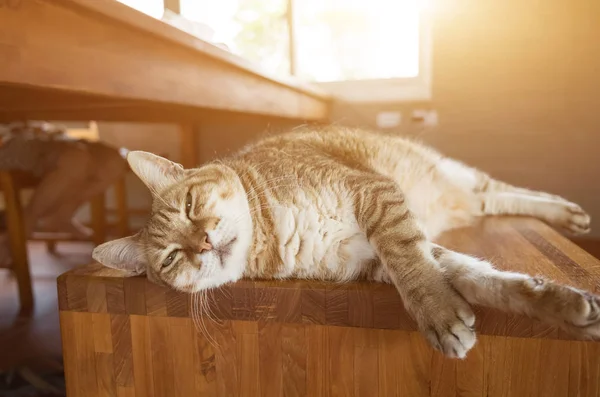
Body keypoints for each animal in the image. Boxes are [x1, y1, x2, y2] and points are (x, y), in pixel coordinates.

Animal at [94, 127, 600, 358]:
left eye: (190, 205)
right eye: (170, 257)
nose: (202, 243)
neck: (273, 230)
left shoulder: (374, 194)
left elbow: (413, 264)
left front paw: (437, 311)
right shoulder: (368, 261)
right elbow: (475, 276)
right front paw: (561, 306)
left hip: (458, 175)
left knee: (503, 190)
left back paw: (565, 210)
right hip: (465, 198)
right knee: (490, 201)